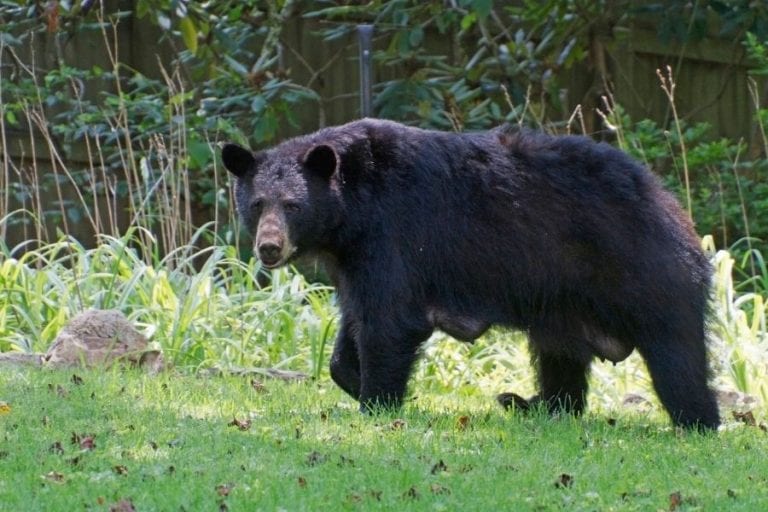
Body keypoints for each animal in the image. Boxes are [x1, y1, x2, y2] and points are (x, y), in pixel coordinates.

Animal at [221, 118, 720, 430]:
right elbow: (357, 322)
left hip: (644, 271)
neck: (352, 209)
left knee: (677, 355)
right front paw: (354, 378)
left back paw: (697, 422)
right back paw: (532, 404)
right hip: (563, 303)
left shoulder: (395, 233)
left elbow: (390, 320)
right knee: (559, 358)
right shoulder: (354, 256)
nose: (269, 247)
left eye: (293, 205)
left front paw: (377, 404)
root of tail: (674, 208)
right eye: (257, 203)